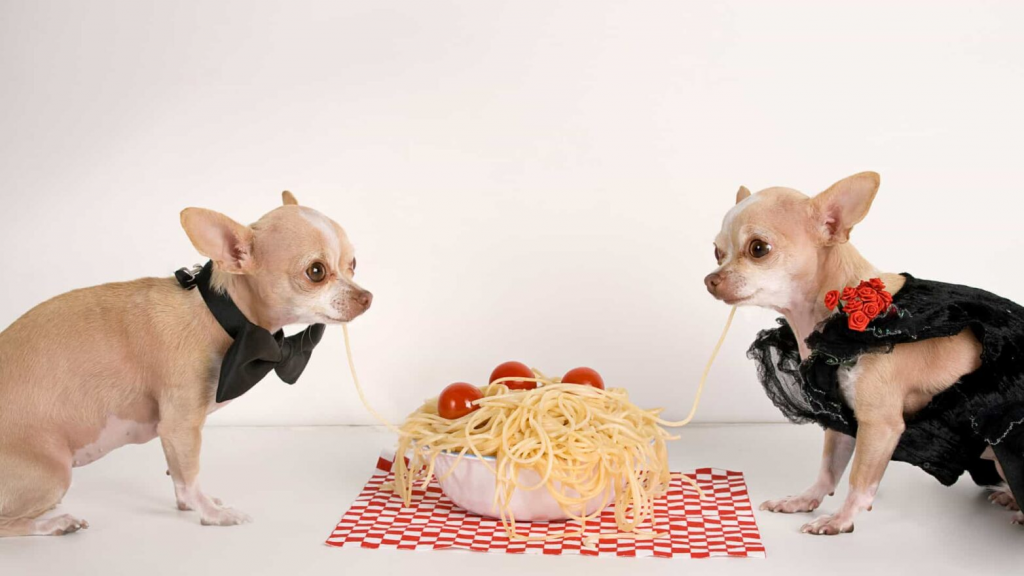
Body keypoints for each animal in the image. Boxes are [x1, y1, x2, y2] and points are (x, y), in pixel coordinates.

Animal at [0, 191, 368, 532]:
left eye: (353, 264)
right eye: (316, 272)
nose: (367, 297)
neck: (225, 316)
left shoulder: (175, 436)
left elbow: (178, 475)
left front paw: (194, 505)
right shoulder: (179, 426)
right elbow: (190, 476)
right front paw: (212, 513)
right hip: (53, 472)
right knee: (10, 524)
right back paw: (53, 523)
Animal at [708, 171, 1019, 532]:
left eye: (759, 248)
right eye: (716, 252)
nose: (709, 279)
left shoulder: (880, 425)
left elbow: (860, 479)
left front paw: (841, 519)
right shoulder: (841, 418)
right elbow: (829, 468)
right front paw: (804, 500)